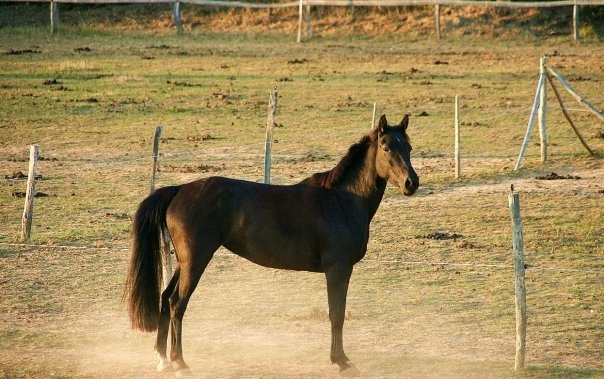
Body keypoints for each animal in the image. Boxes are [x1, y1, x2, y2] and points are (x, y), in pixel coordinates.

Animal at [126, 114, 420, 376]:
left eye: (408, 147)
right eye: (386, 147)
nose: (411, 183)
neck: (342, 200)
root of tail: (179, 190)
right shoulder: (338, 269)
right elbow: (337, 315)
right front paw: (342, 361)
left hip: (185, 262)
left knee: (166, 299)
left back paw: (163, 360)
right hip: (196, 260)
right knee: (177, 303)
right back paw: (180, 363)